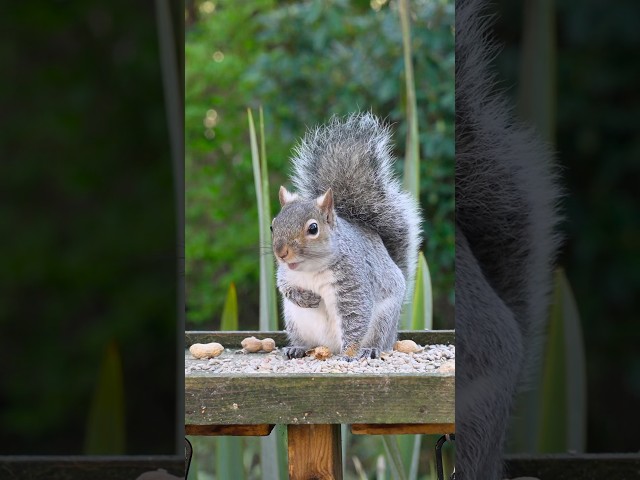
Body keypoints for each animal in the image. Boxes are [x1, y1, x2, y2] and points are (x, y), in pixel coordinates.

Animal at [270, 113, 422, 361]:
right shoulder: (286, 274)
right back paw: (297, 347)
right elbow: (285, 287)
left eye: (313, 228)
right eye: (273, 226)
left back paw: (370, 349)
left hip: (384, 320)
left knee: (379, 339)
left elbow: (355, 316)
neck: (310, 269)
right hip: (295, 322)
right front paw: (307, 299)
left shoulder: (353, 282)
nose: (281, 253)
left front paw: (350, 353)